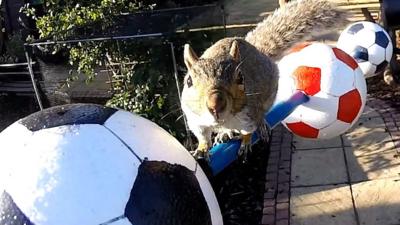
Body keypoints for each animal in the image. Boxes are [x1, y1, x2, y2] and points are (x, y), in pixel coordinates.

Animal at [180, 0, 346, 158]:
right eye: (189, 81)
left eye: (240, 78)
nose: (215, 105)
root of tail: (259, 52)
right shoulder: (196, 120)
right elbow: (202, 136)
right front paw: (201, 149)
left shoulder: (249, 115)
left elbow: (247, 131)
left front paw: (245, 143)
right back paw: (224, 132)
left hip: (269, 95)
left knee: (262, 113)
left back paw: (261, 125)